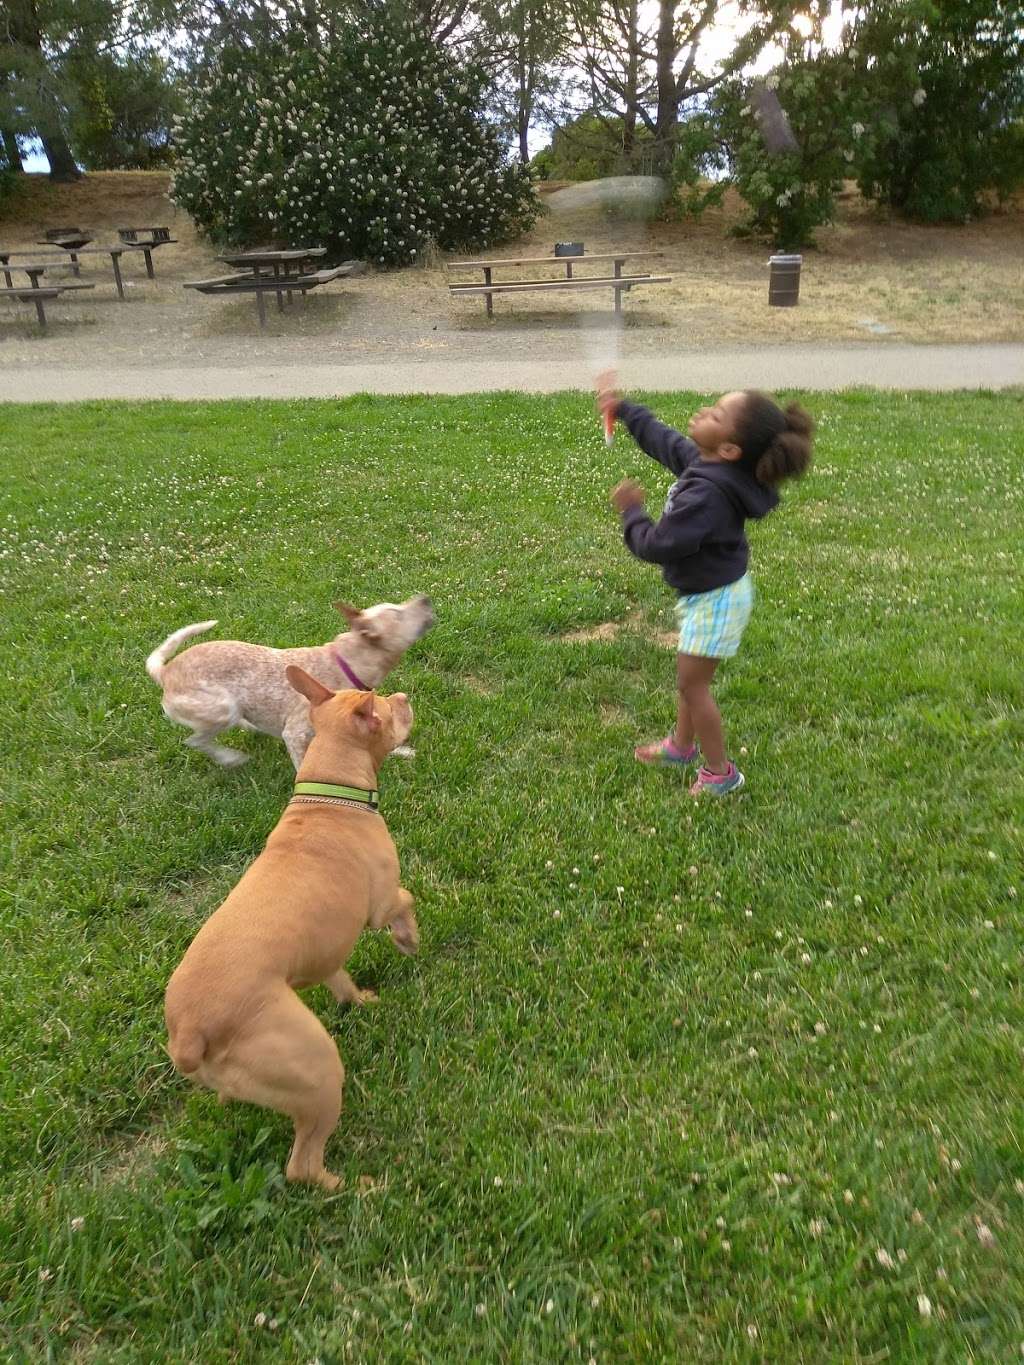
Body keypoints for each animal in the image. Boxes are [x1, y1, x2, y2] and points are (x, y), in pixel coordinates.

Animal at [144, 597, 434, 769]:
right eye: (396, 613)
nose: (426, 598)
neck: (347, 663)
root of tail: (165, 671)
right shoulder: (294, 734)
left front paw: (402, 751)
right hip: (222, 708)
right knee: (196, 741)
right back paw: (230, 757)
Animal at [163, 666, 417, 1190]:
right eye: (386, 707)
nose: (405, 695)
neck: (330, 794)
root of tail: (188, 1034)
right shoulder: (381, 903)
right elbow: (405, 900)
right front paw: (408, 939)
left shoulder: (325, 952)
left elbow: (340, 979)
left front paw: (359, 1000)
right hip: (317, 1070)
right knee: (303, 1164)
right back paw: (359, 1188)